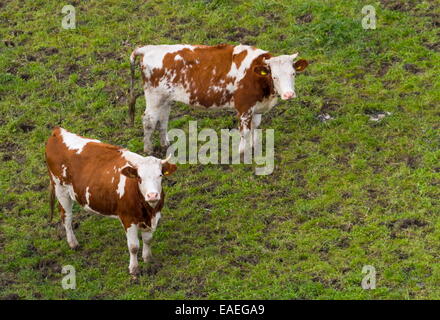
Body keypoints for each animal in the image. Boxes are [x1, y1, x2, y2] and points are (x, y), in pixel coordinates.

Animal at [44, 127, 175, 276]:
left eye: (160, 175)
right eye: (139, 177)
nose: (152, 195)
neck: (148, 210)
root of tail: (58, 131)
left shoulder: (153, 216)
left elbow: (148, 239)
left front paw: (148, 259)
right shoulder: (127, 218)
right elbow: (133, 246)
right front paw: (134, 269)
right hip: (61, 190)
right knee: (66, 217)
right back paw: (73, 243)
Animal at [129, 44, 310, 155]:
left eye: (293, 73)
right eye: (275, 76)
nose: (289, 95)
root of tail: (149, 48)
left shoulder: (256, 106)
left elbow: (255, 126)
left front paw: (253, 146)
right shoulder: (244, 106)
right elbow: (244, 131)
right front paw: (242, 152)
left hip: (165, 98)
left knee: (163, 119)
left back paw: (165, 142)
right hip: (154, 96)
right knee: (149, 120)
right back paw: (148, 149)